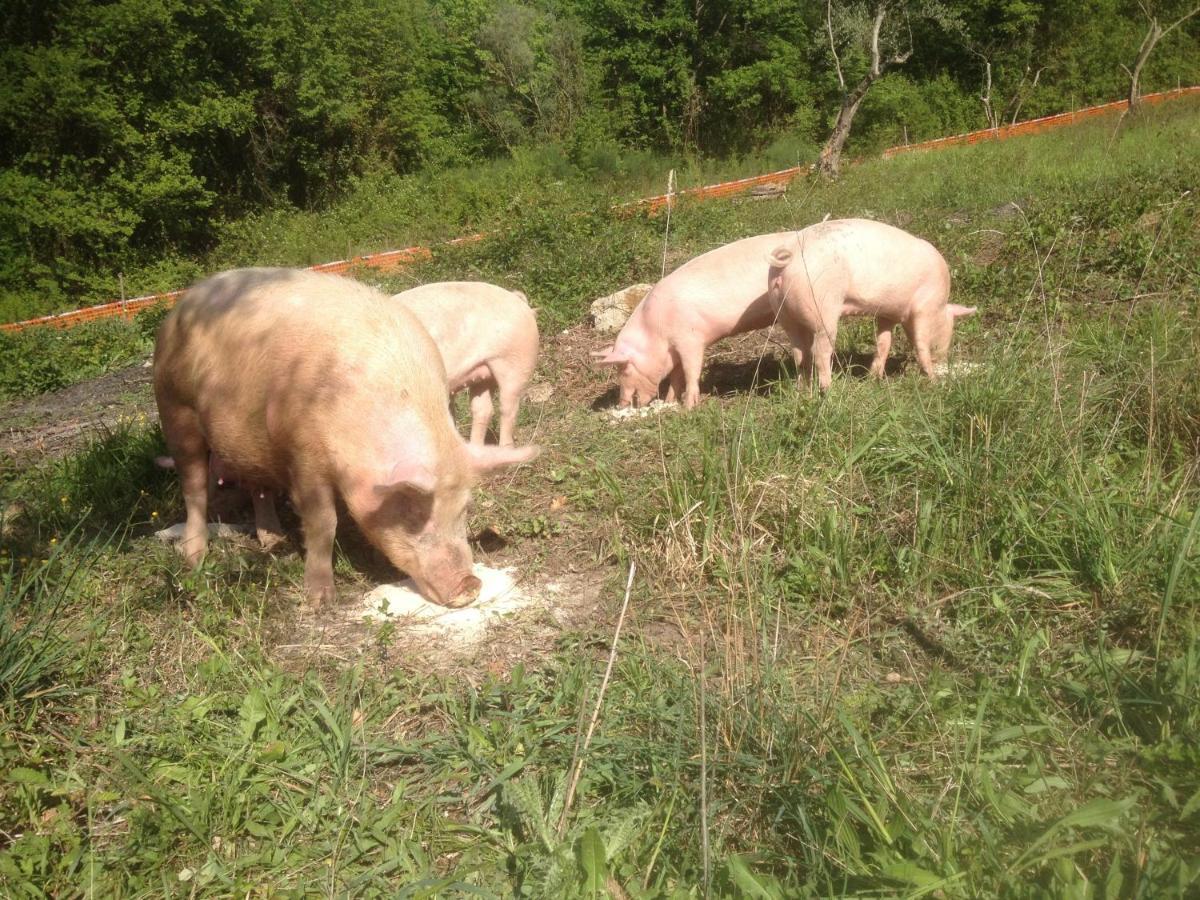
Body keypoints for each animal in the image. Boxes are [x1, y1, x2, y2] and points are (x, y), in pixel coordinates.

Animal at [588, 230, 806, 410]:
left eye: (624, 370)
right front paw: (669, 401)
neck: (656, 331)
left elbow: (691, 370)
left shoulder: (690, 339)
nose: (621, 405)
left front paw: (688, 407)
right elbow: (676, 376)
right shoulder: (674, 350)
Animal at [768, 218, 974, 391]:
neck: (940, 307)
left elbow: (884, 342)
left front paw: (874, 379)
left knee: (799, 355)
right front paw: (933, 381)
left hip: (784, 313)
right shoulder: (924, 307)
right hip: (823, 308)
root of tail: (790, 255)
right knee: (820, 352)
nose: (943, 360)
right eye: (950, 329)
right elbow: (921, 344)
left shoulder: (888, 314)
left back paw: (803, 391)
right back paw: (828, 390)